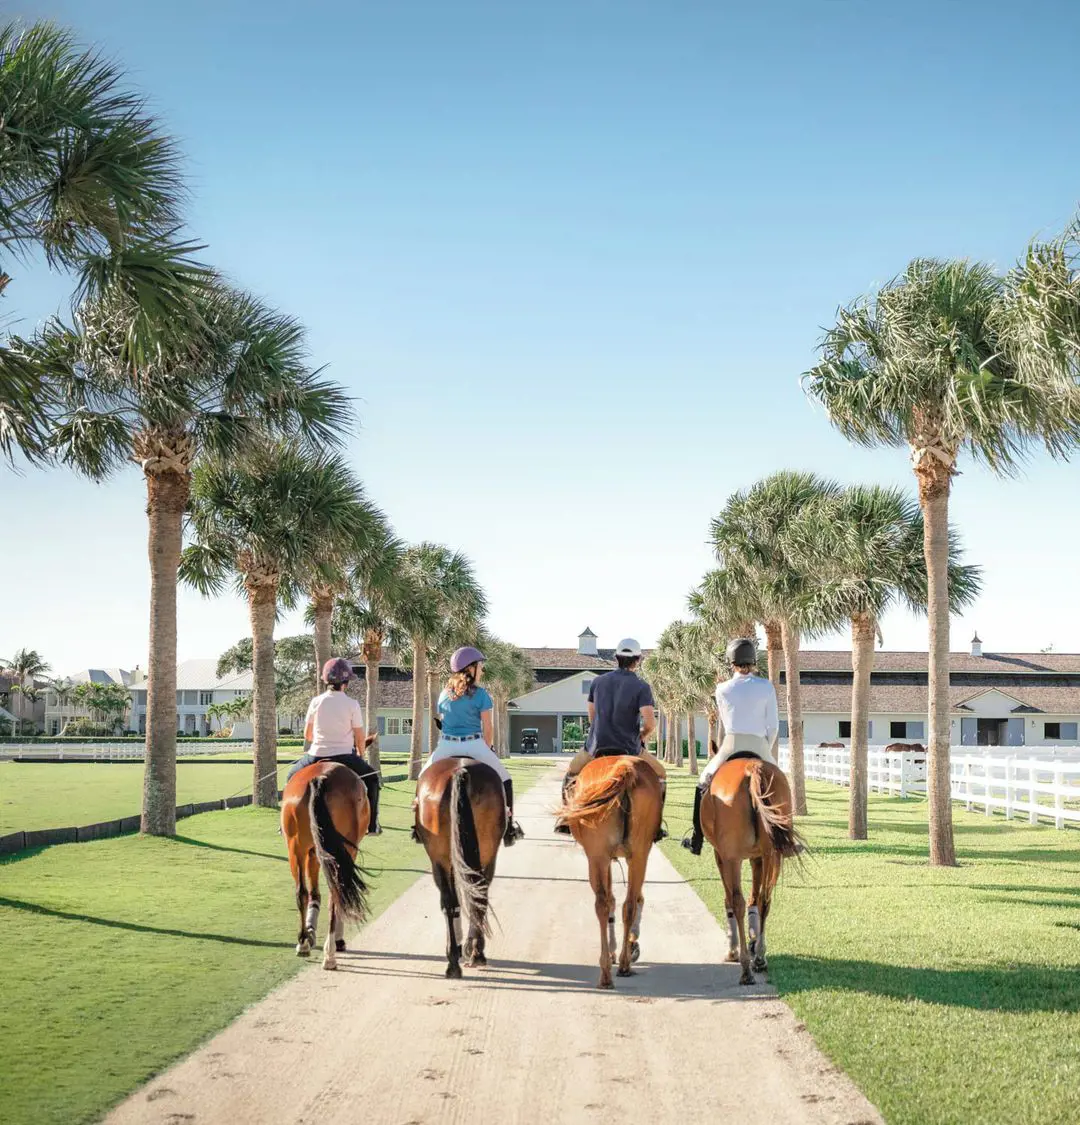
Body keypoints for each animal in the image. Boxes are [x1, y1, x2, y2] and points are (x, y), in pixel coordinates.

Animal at [280, 751, 373, 972]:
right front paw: (337, 939)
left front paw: (310, 931)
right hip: (344, 848)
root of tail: (320, 778)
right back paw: (330, 951)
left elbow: (313, 892)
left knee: (301, 892)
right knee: (336, 893)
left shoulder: (314, 851)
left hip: (295, 847)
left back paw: (303, 942)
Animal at [414, 756, 506, 985]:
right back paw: (471, 955)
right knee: (474, 897)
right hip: (484, 852)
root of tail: (460, 771)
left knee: (454, 901)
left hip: (442, 858)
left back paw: (458, 961)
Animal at [560, 760, 661, 990]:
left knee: (603, 904)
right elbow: (628, 900)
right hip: (639, 854)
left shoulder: (603, 859)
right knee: (630, 904)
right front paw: (630, 944)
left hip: (597, 857)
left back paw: (606, 970)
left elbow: (610, 899)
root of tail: (626, 767)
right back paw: (624, 963)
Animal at [702, 747, 801, 985]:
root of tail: (752, 768)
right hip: (772, 854)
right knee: (765, 900)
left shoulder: (721, 856)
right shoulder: (758, 857)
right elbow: (754, 899)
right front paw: (753, 942)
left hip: (733, 858)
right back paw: (760, 958)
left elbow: (730, 899)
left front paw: (733, 950)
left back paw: (746, 968)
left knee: (737, 902)